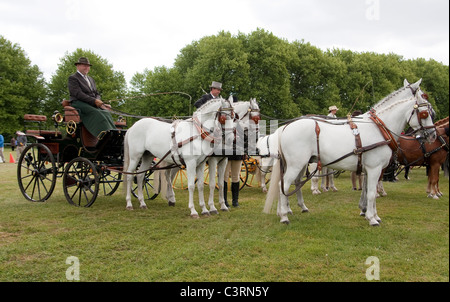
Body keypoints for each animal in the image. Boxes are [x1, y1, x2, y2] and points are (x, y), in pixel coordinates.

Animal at [266, 79, 438, 225]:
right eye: (425, 113)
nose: (433, 135)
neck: (378, 128)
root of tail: (286, 126)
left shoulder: (369, 169)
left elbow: (368, 192)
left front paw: (371, 214)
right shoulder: (375, 168)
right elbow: (371, 193)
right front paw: (372, 219)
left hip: (299, 164)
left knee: (293, 184)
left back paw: (292, 209)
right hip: (297, 164)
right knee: (283, 184)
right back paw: (284, 216)